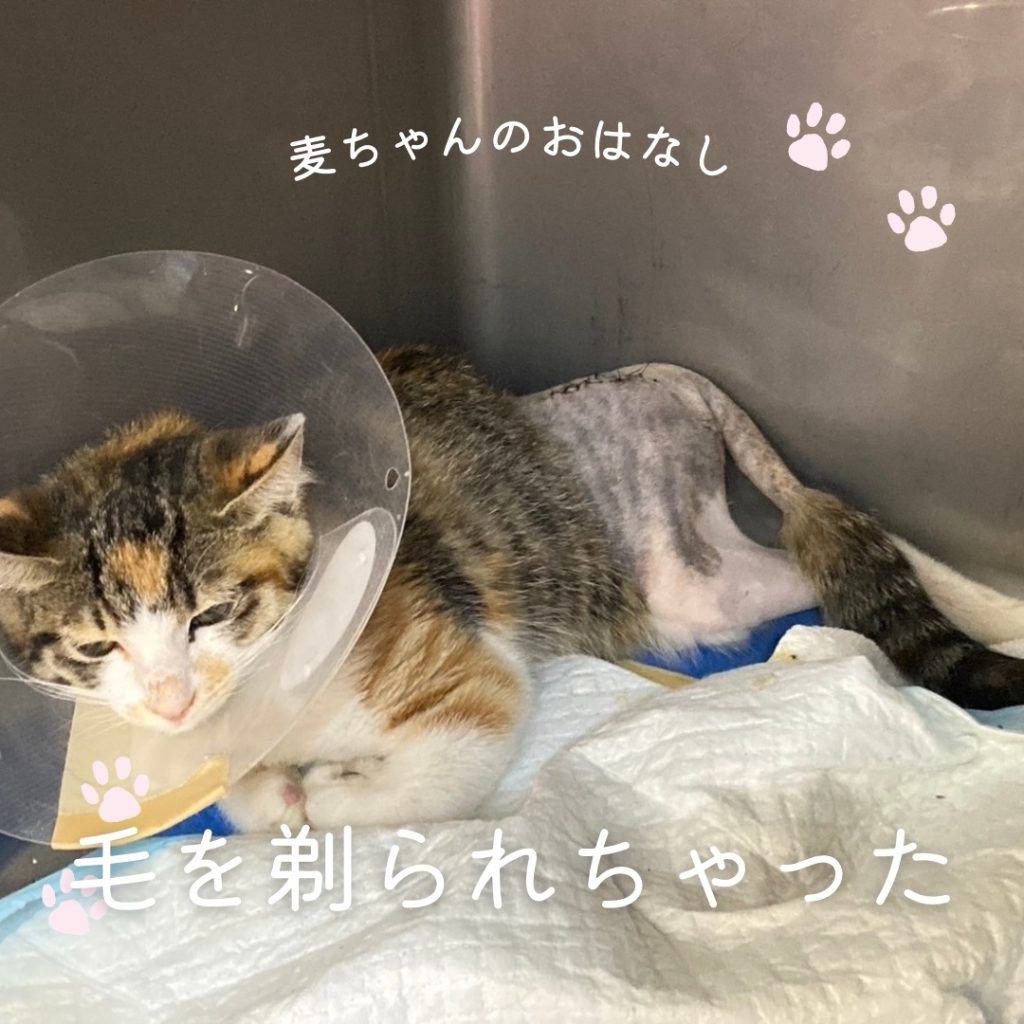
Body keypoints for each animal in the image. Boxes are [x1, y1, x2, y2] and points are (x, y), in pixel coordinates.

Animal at [1, 346, 1023, 831]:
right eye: (98, 646)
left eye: (212, 613)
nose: (172, 700)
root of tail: (658, 376)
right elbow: (243, 797)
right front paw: (281, 793)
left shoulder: (475, 668)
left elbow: (439, 768)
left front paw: (330, 794)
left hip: (668, 568)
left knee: (830, 539)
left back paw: (995, 604)